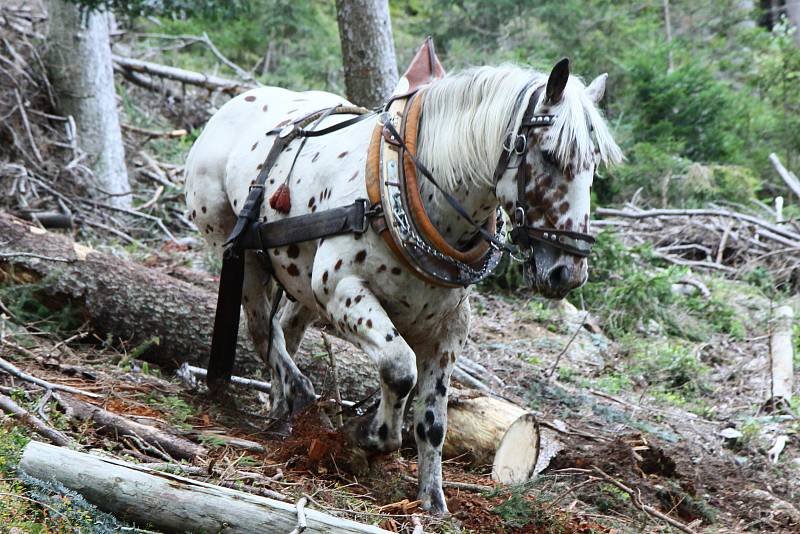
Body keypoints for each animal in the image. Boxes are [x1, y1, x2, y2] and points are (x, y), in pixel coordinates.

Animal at [184, 45, 620, 516]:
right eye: (550, 156)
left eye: (593, 165)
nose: (567, 272)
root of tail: (233, 105)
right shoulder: (343, 292)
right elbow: (398, 370)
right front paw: (368, 436)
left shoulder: (448, 329)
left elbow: (432, 421)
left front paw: (433, 501)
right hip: (241, 253)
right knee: (264, 333)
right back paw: (297, 394)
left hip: (301, 280)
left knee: (285, 329)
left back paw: (282, 410)